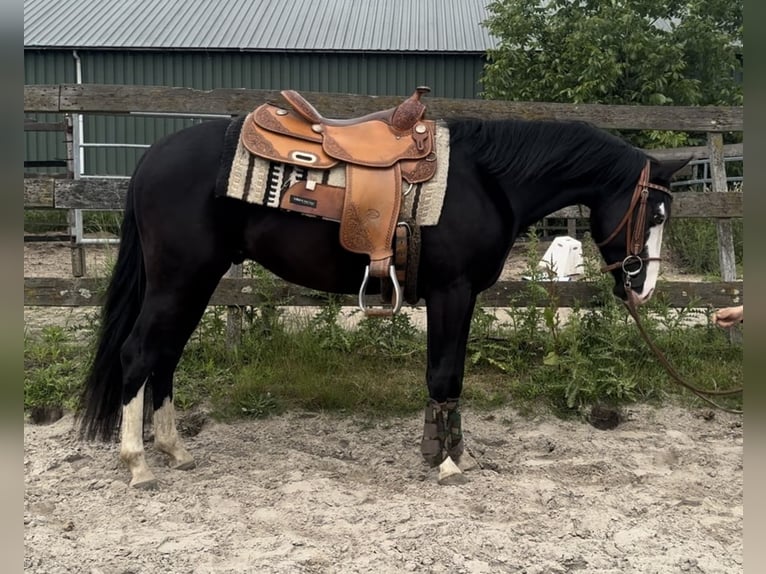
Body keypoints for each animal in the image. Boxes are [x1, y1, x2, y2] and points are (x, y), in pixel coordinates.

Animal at [76, 99, 689, 488]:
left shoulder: (461, 296)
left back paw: (175, 451)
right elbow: (444, 375)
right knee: (139, 355)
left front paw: (449, 451)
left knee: (164, 358)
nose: (644, 287)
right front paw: (446, 463)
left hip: (193, 283)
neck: (489, 180)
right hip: (180, 279)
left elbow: (450, 376)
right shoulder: (451, 291)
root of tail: (150, 159)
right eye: (656, 213)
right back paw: (138, 464)